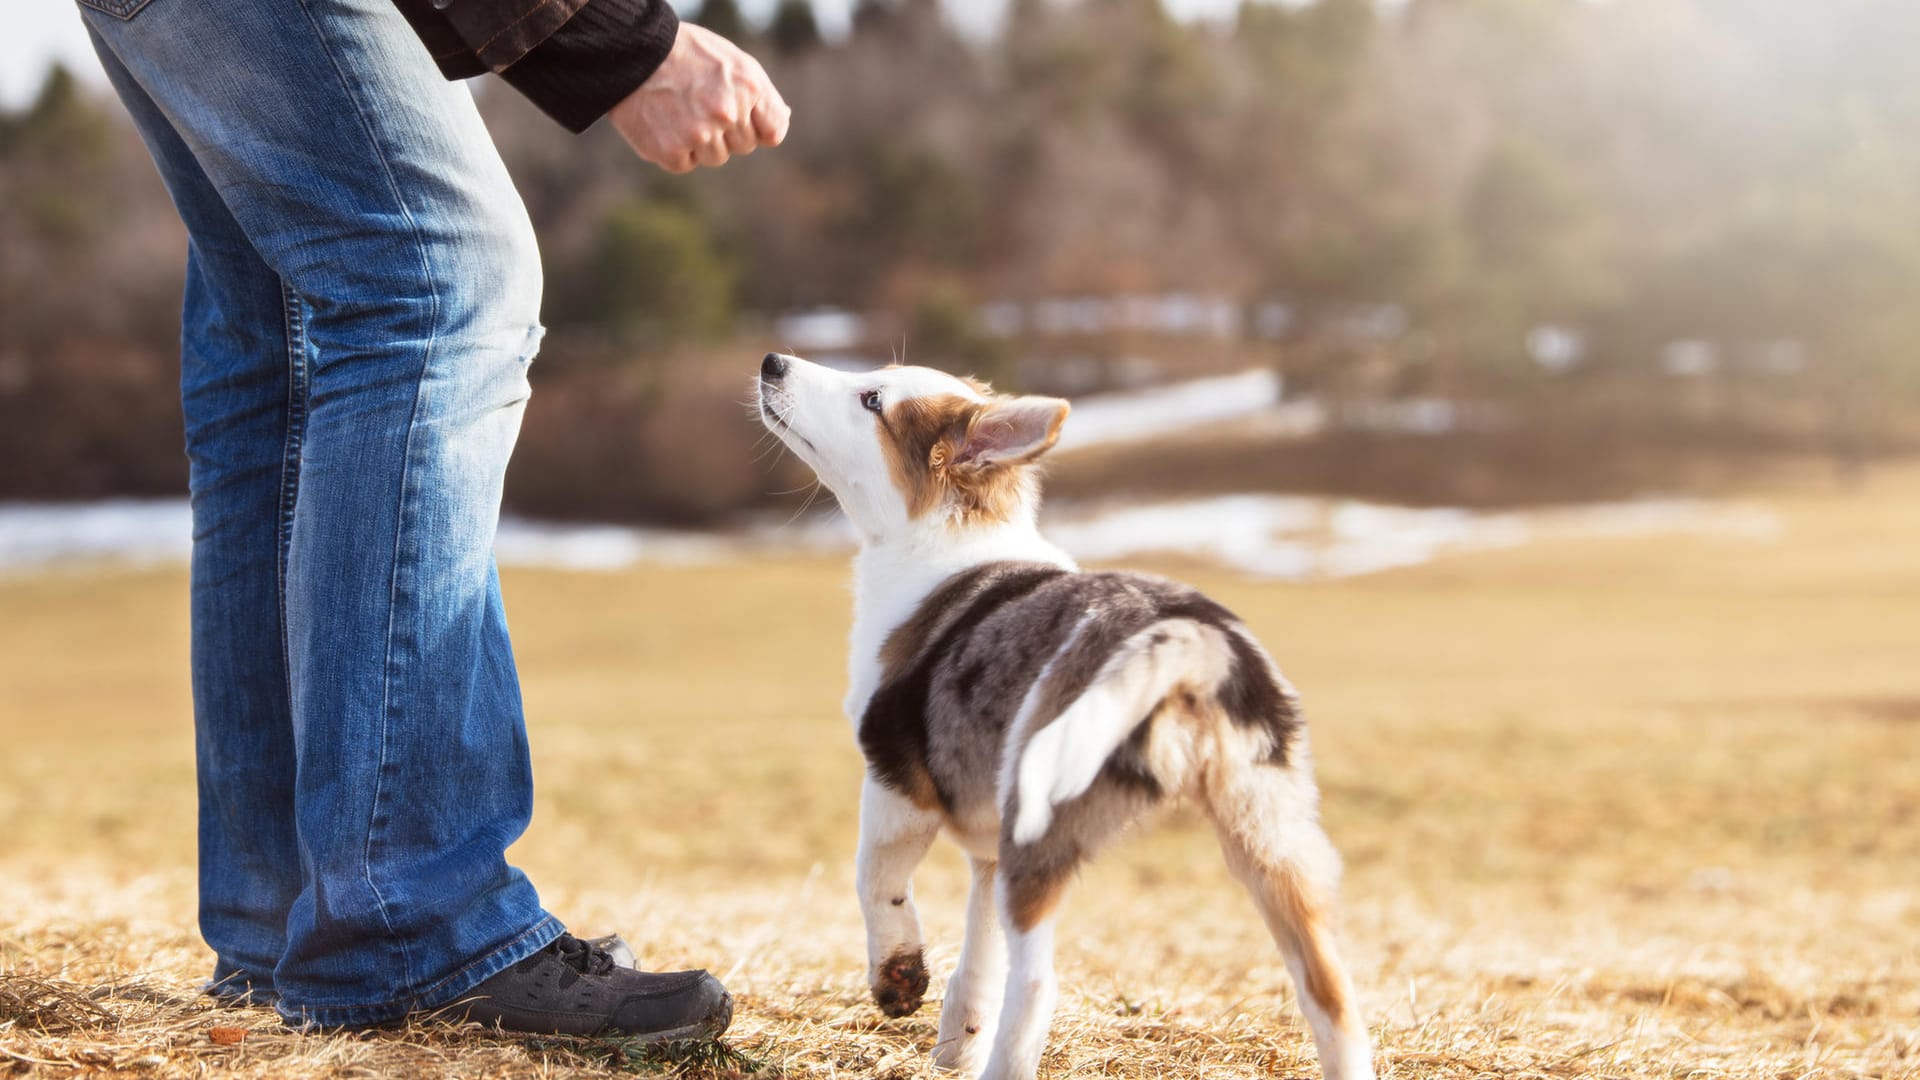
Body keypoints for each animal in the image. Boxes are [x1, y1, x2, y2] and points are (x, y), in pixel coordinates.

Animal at [756, 353, 1374, 1076]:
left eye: (872, 399)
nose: (772, 363)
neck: (943, 542)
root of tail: (1188, 643)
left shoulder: (894, 786)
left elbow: (876, 881)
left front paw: (899, 979)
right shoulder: (987, 852)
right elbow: (979, 958)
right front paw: (953, 1048)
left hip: (1042, 830)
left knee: (1036, 985)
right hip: (1272, 835)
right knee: (1330, 990)